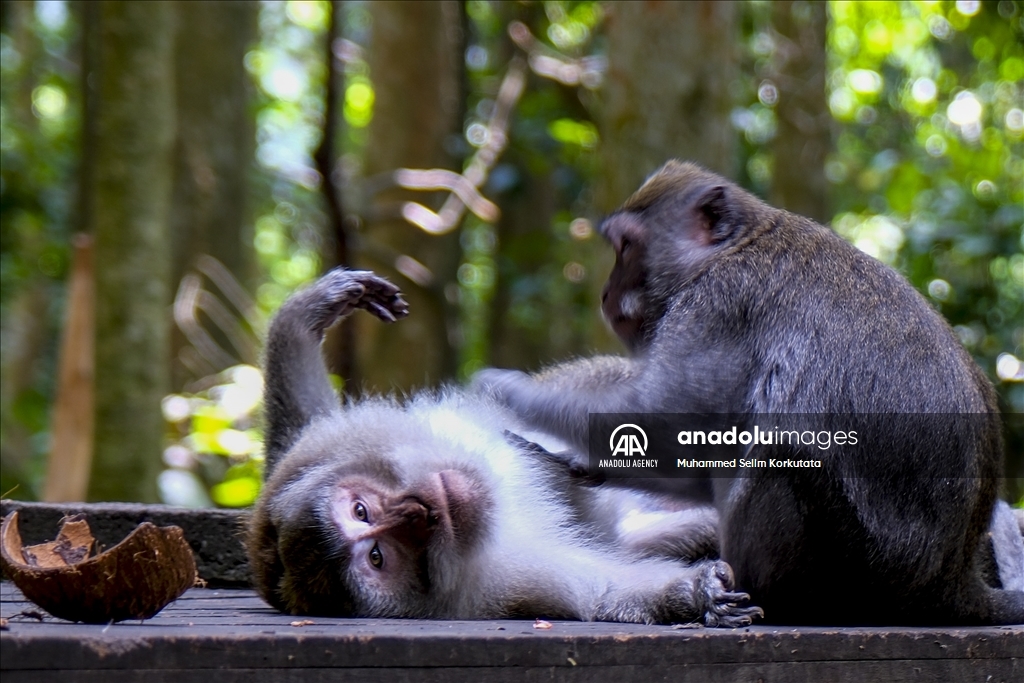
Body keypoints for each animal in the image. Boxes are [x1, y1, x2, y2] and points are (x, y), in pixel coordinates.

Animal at [247, 270, 761, 626]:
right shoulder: (505, 585)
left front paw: (305, 313)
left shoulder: (316, 452)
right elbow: (606, 588)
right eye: (378, 558)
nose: (420, 511)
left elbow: (304, 422)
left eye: (360, 510)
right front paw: (694, 595)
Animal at [477, 158, 1024, 626]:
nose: (607, 293)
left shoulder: (716, 305)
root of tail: (951, 582)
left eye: (627, 246)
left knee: (782, 448)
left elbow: (664, 417)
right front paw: (576, 462)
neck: (737, 244)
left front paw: (510, 391)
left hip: (860, 575)